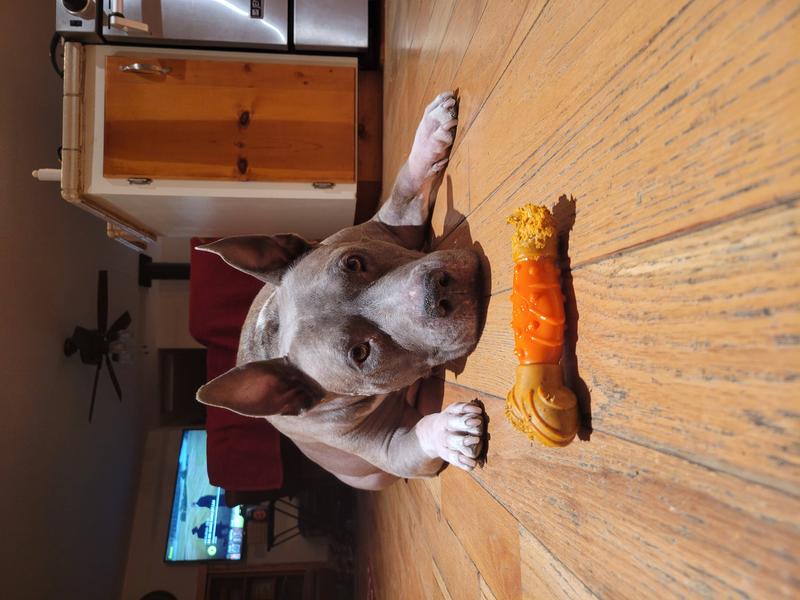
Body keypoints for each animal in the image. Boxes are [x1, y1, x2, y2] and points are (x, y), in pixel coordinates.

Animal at [196, 92, 486, 490]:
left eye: (352, 262)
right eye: (360, 353)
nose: (435, 292)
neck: (272, 331)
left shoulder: (387, 223)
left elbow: (405, 187)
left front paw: (432, 130)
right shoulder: (390, 449)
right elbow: (418, 437)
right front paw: (450, 434)